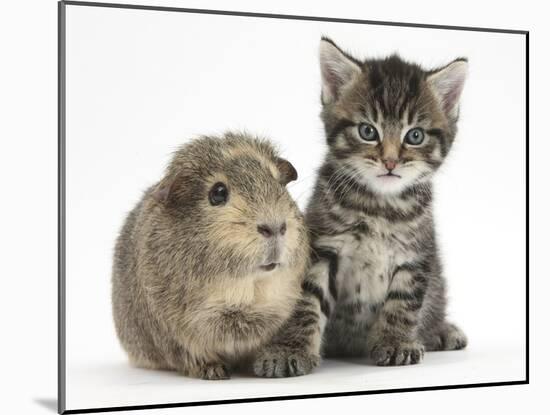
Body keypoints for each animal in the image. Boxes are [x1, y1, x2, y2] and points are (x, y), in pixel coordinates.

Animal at [253, 38, 466, 376]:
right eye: (368, 131)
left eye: (415, 135)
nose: (390, 161)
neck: (380, 206)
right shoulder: (321, 248)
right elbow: (306, 301)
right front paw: (289, 350)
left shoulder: (416, 255)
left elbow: (403, 302)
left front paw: (396, 342)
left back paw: (441, 331)